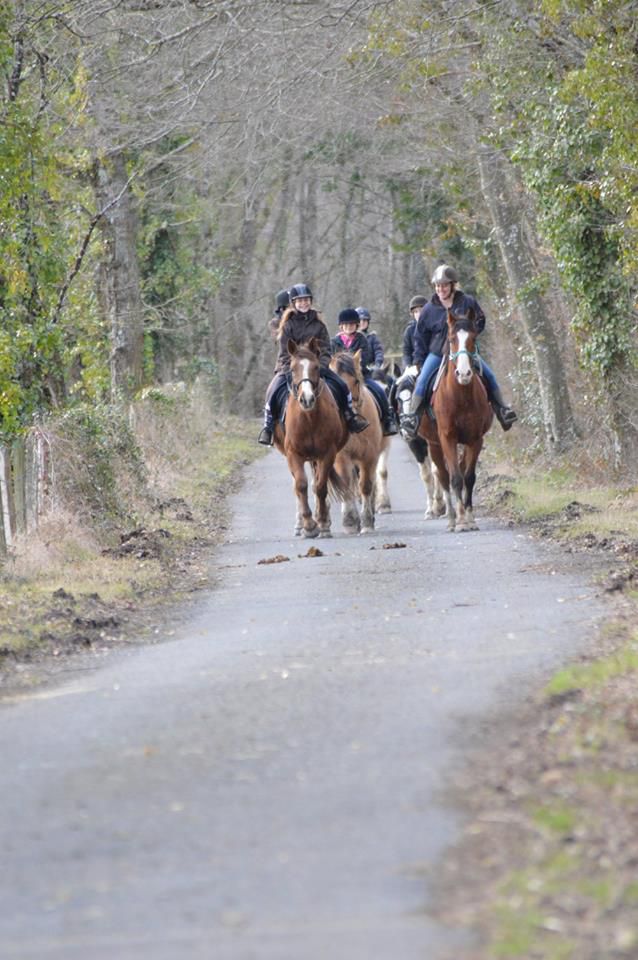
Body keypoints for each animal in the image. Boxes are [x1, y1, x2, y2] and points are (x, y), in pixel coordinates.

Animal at [273, 338, 349, 538]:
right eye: (292, 369)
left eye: (316, 367)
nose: (306, 399)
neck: (308, 418)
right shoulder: (293, 454)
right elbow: (300, 485)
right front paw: (308, 525)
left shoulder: (327, 454)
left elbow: (320, 487)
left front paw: (322, 522)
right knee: (298, 485)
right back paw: (299, 524)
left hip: (316, 458)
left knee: (316, 483)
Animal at [329, 350, 388, 534]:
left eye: (355, 380)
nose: (351, 414)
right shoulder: (342, 457)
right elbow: (346, 484)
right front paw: (350, 522)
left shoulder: (369, 457)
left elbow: (366, 486)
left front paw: (367, 522)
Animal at [390, 370, 446, 520]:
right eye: (398, 399)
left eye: (416, 398)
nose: (408, 427)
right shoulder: (414, 444)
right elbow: (426, 475)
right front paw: (431, 510)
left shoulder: (435, 442)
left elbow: (437, 470)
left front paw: (439, 506)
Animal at [418, 309, 493, 532]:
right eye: (451, 339)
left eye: (473, 338)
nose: (464, 373)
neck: (461, 397)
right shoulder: (447, 438)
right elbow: (455, 478)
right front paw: (460, 520)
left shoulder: (475, 439)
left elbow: (469, 477)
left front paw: (470, 518)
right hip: (434, 444)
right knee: (443, 476)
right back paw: (451, 518)